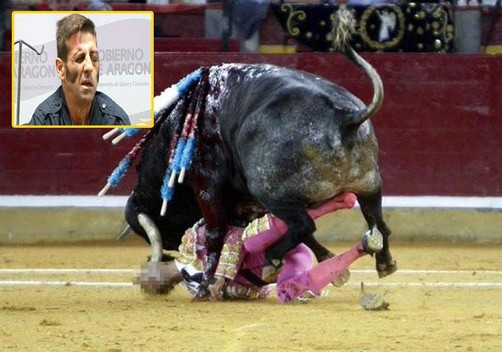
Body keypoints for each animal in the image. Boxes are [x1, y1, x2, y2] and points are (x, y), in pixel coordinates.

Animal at [120, 47, 396, 294]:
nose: (173, 244)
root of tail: (346, 117)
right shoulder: (247, 204)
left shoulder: (208, 186)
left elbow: (215, 234)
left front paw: (206, 285)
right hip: (369, 184)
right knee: (377, 222)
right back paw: (384, 261)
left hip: (268, 189)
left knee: (304, 224)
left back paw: (270, 261)